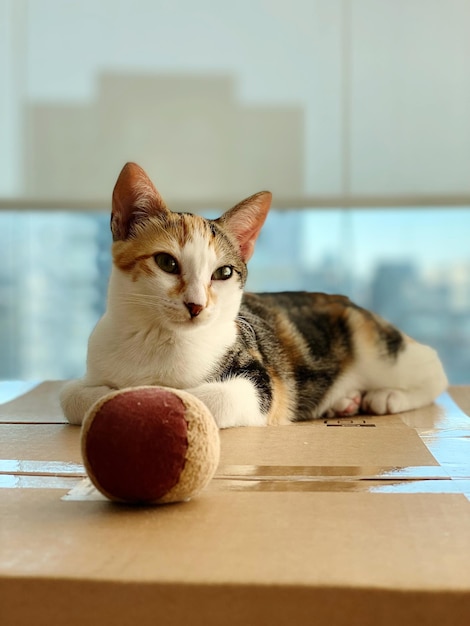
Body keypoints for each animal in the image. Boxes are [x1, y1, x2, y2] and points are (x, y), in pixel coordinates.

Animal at [59, 160, 448, 428]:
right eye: (167, 263)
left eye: (223, 273)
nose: (196, 305)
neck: (158, 339)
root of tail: (347, 299)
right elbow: (68, 395)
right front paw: (111, 397)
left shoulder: (262, 382)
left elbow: (213, 397)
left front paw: (158, 398)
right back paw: (344, 401)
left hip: (374, 347)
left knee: (433, 367)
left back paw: (387, 396)